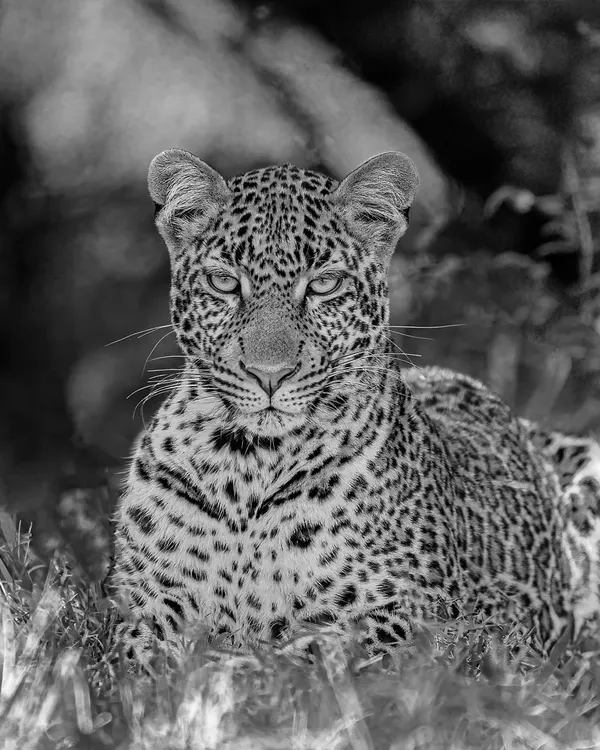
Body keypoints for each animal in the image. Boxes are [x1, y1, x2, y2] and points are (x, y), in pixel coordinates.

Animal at [110, 148, 600, 666]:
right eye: (223, 282)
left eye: (325, 284)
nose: (269, 374)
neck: (250, 465)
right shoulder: (145, 603)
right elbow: (136, 649)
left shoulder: (421, 620)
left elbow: (307, 656)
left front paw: (238, 666)